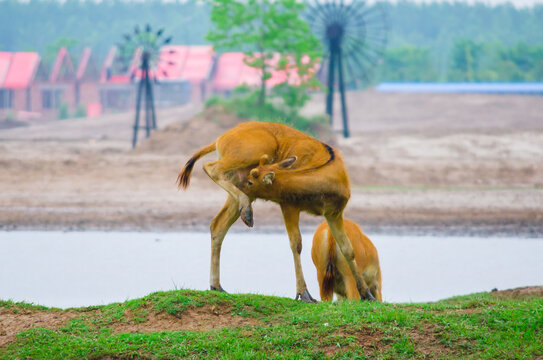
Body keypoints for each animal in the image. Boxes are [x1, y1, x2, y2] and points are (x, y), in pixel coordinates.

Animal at [178, 121, 378, 304]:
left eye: (252, 180)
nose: (244, 184)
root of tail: (220, 139)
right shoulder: (289, 206)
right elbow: (296, 244)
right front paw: (304, 294)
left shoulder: (333, 214)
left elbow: (348, 249)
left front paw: (367, 295)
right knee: (211, 167)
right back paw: (247, 212)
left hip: (238, 186)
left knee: (218, 224)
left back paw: (217, 286)